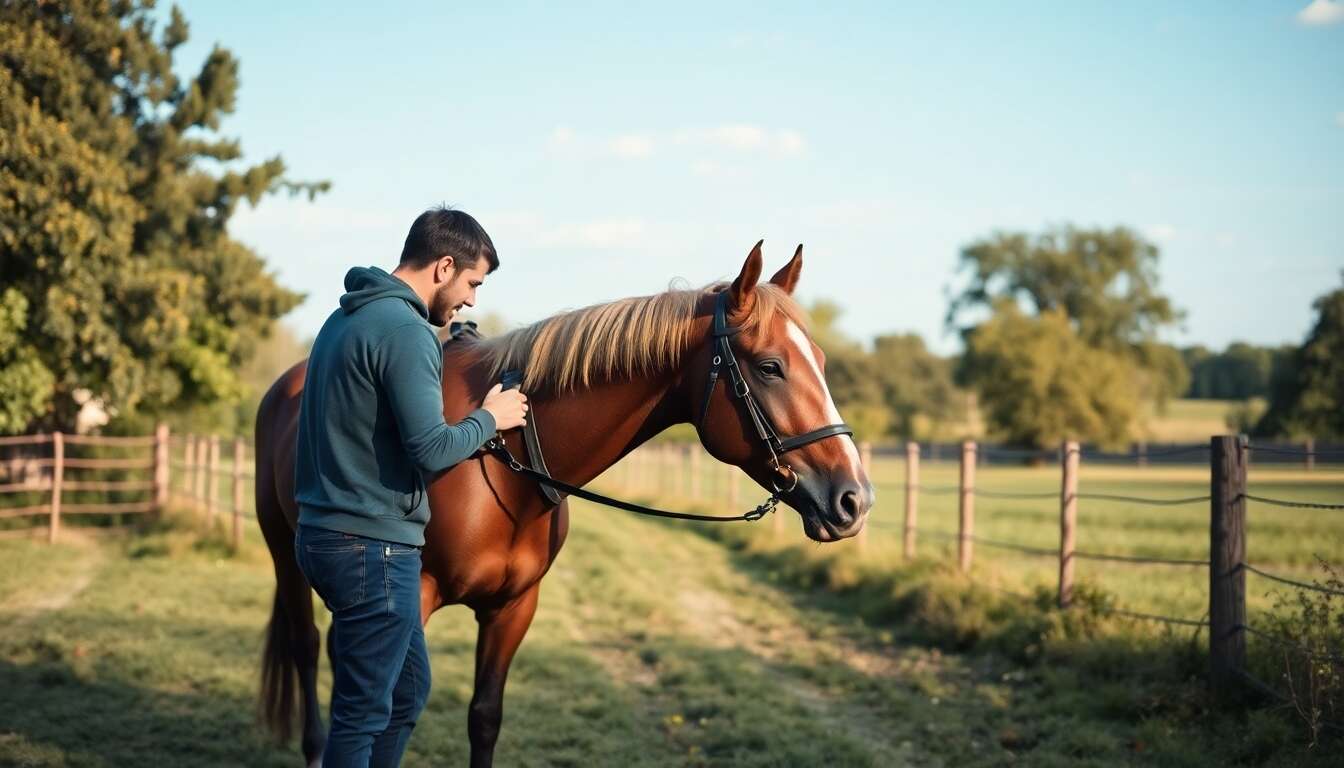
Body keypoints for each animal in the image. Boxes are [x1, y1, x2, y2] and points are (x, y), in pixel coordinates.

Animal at [254, 242, 875, 767]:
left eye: (820, 360)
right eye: (770, 367)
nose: (854, 499)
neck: (502, 462)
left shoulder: (513, 608)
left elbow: (484, 717)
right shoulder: (416, 598)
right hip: (285, 552)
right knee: (308, 647)